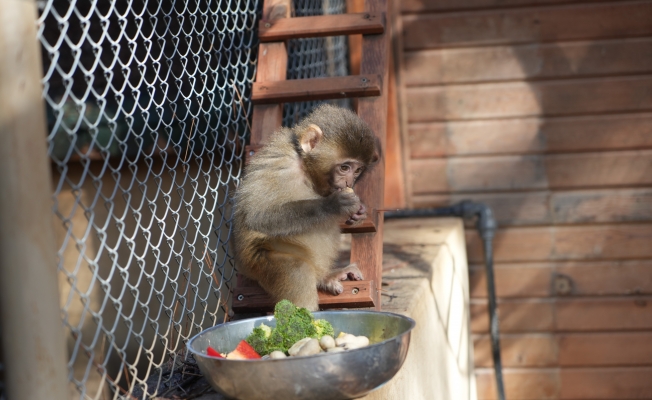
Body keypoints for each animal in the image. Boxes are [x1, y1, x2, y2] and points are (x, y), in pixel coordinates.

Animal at [232, 104, 380, 310]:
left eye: (357, 170)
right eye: (344, 168)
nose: (349, 182)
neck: (304, 168)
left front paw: (359, 213)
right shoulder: (281, 164)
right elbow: (258, 216)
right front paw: (333, 205)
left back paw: (325, 277)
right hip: (258, 263)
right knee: (297, 269)